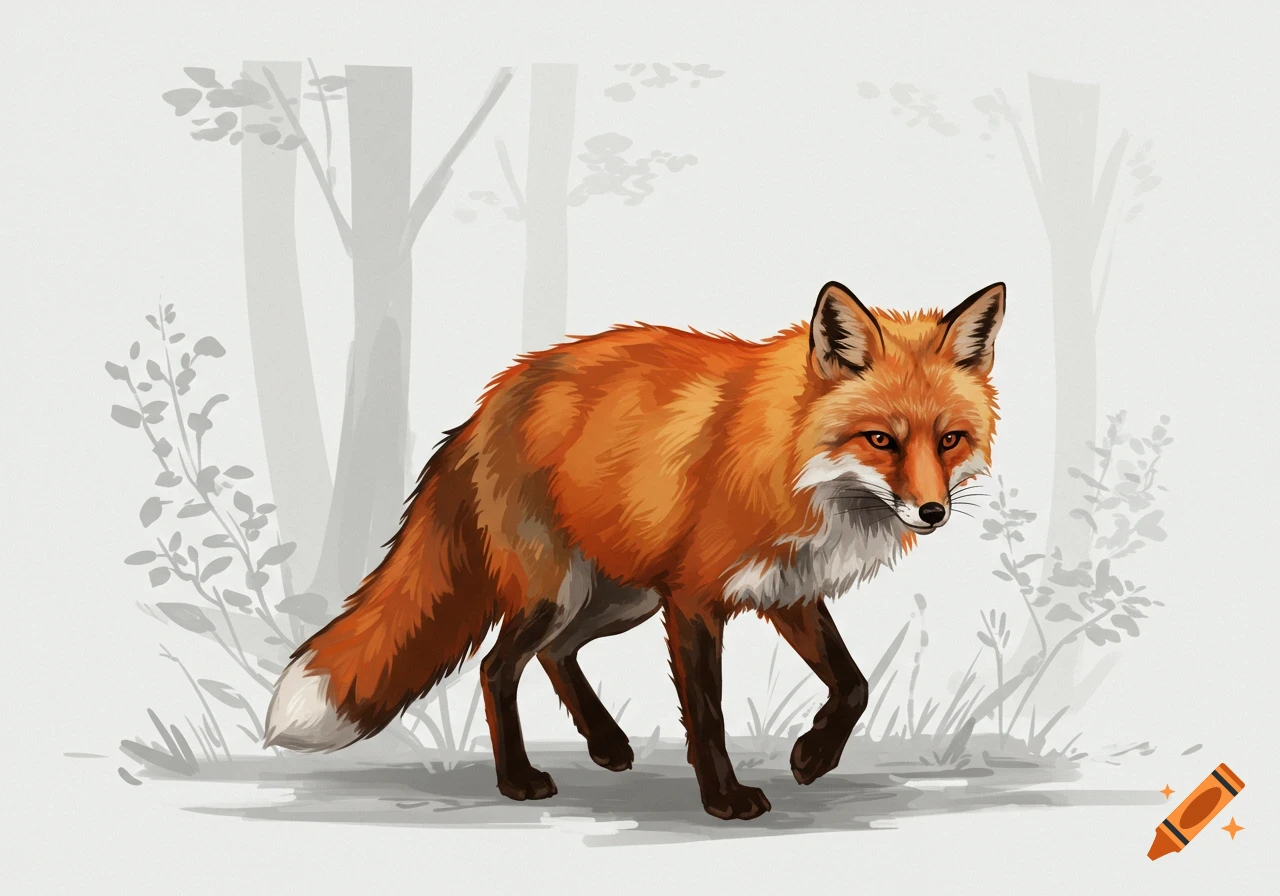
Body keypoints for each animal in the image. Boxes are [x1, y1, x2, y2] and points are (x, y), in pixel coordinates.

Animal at [264, 280, 1005, 820]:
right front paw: (725, 800)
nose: (933, 512)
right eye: (881, 439)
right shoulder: (697, 598)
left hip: (620, 598)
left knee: (555, 654)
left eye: (949, 440)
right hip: (561, 592)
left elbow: (853, 684)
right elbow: (707, 713)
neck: (791, 462)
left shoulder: (786, 588)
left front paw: (812, 759)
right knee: (499, 666)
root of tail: (488, 403)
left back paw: (606, 743)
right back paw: (519, 779)